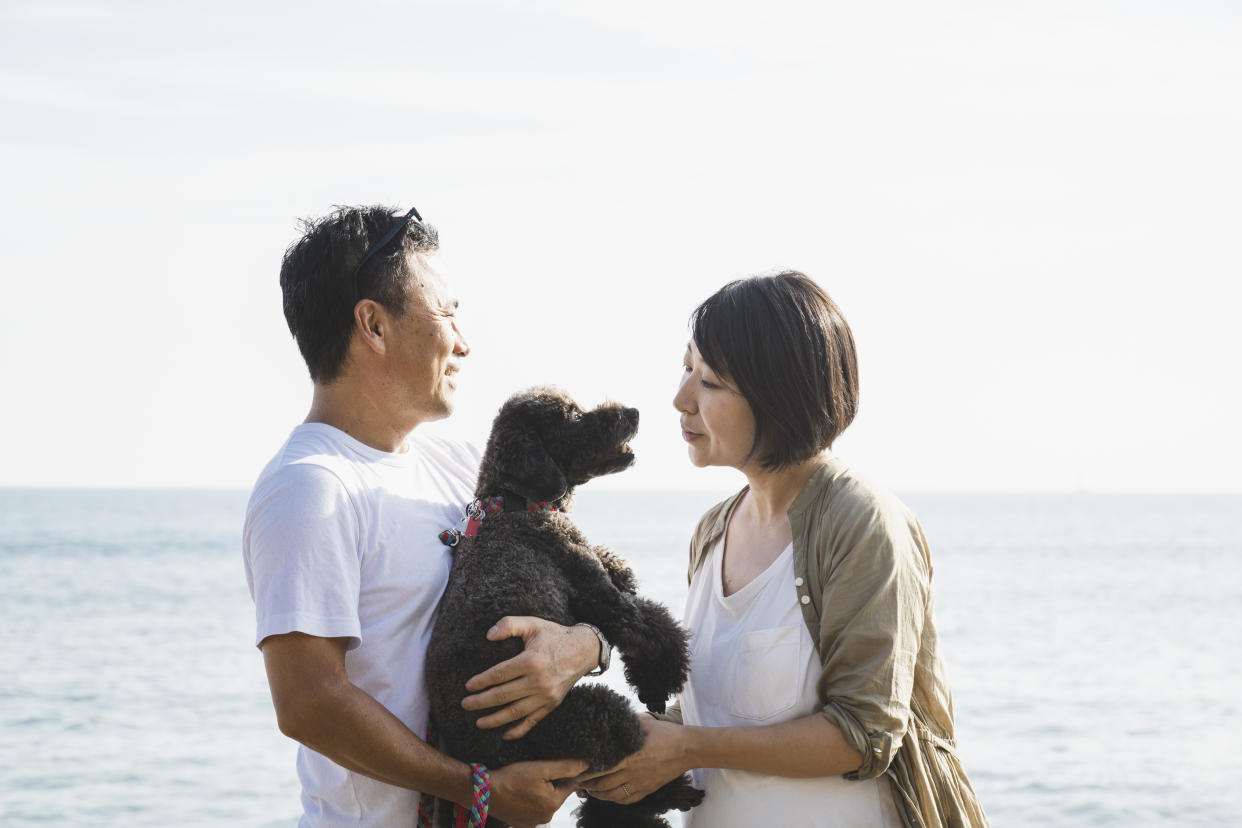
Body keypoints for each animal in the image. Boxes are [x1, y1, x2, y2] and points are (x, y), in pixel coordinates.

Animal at [424, 389, 700, 828]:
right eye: (573, 417)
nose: (633, 412)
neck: (517, 502)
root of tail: (480, 758)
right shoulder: (599, 596)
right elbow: (652, 630)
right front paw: (660, 682)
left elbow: (617, 571)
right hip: (591, 719)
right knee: (613, 770)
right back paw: (666, 793)